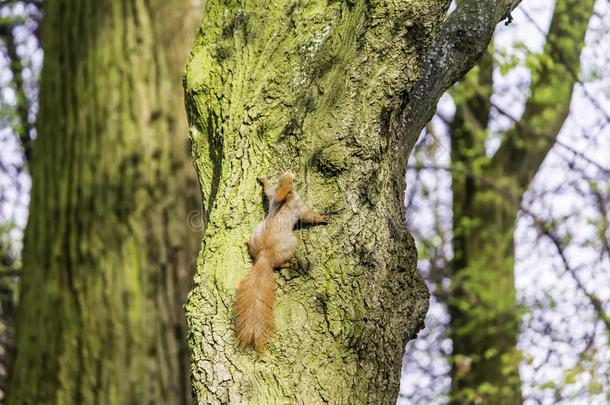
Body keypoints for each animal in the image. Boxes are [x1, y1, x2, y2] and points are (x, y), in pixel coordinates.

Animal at [234, 169, 328, 352]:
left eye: (285, 176)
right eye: (289, 179)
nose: (291, 171)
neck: (286, 197)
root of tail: (264, 256)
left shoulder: (273, 195)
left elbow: (269, 190)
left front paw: (263, 180)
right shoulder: (299, 206)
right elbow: (309, 215)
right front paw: (322, 217)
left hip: (256, 232)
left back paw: (246, 243)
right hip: (291, 243)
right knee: (278, 264)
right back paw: (288, 263)